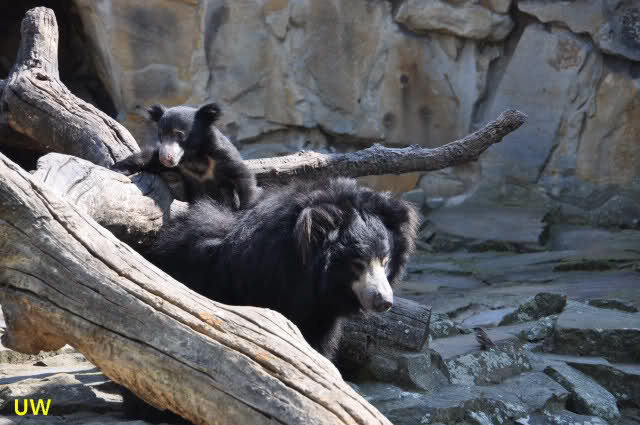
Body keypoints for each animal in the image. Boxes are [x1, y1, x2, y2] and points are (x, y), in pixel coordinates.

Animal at [111, 102, 258, 209]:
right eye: (161, 134)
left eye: (178, 134)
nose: (165, 158)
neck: (193, 155)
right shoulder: (180, 166)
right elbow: (149, 159)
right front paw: (117, 168)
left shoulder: (221, 157)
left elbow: (242, 176)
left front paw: (246, 208)